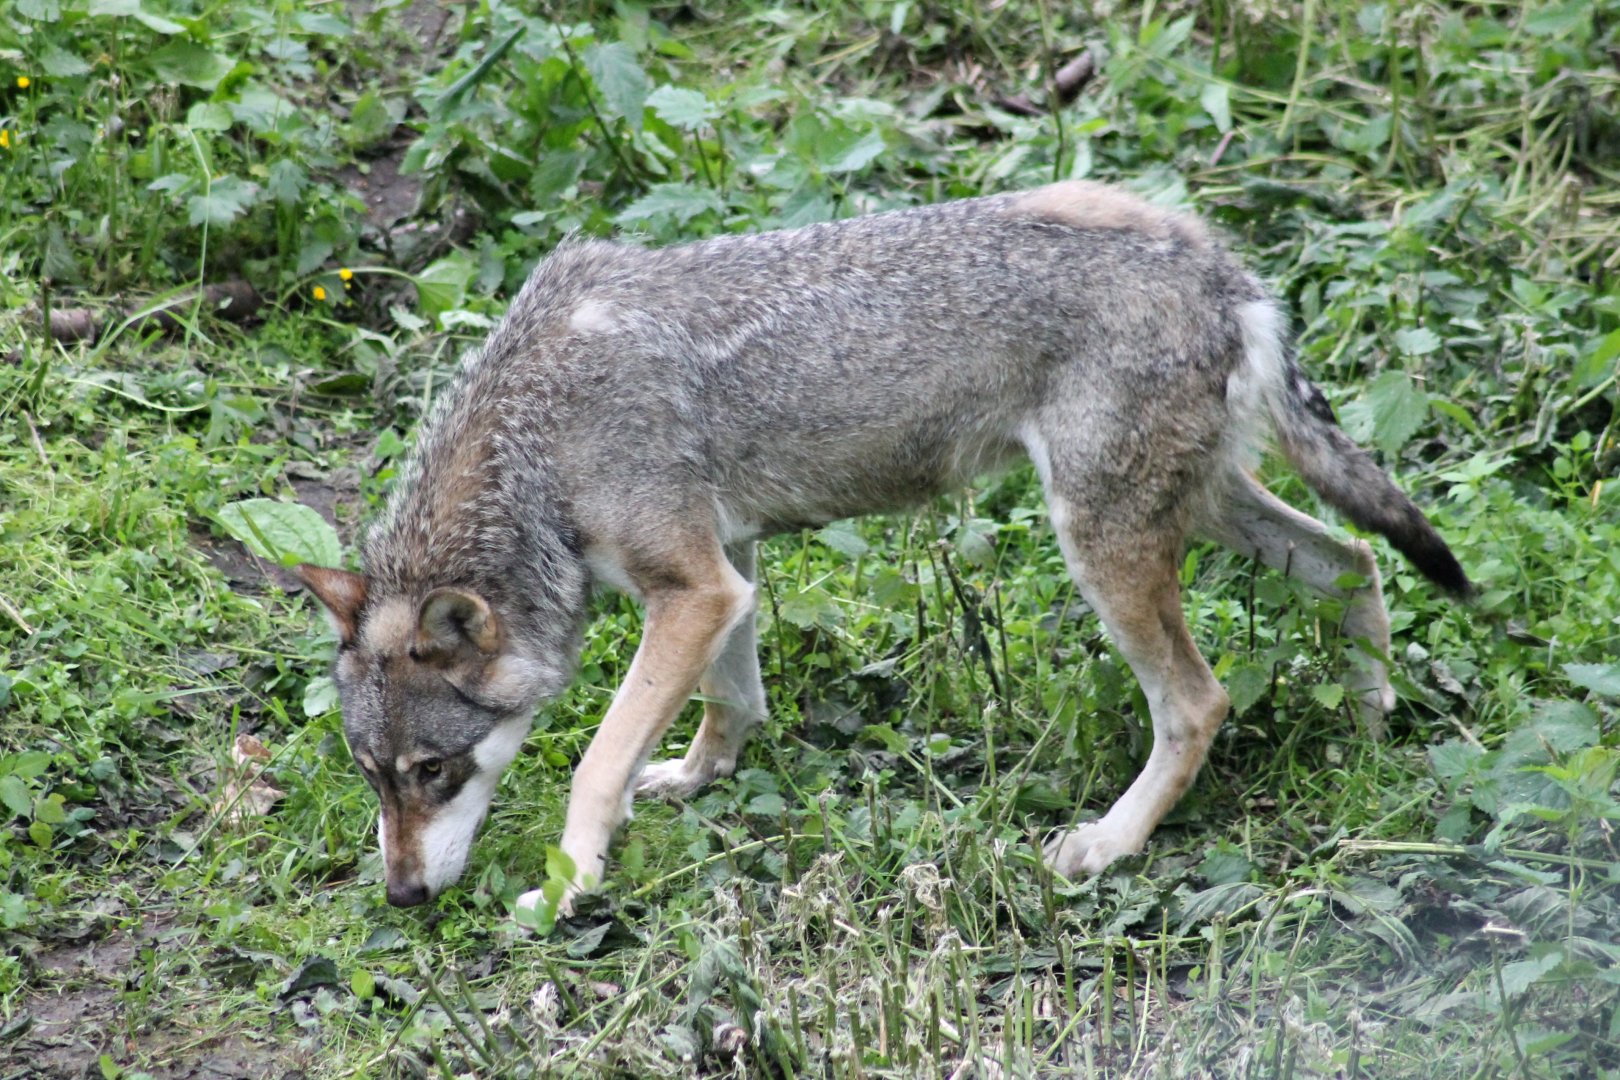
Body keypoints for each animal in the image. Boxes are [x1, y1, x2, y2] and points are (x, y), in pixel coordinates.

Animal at [297, 181, 1469, 912]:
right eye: (370, 776)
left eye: (434, 771)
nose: (402, 897)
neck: (536, 439)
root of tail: (1229, 270)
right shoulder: (726, 577)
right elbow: (732, 702)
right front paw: (693, 778)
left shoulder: (689, 588)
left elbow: (592, 763)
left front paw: (569, 884)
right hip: (1199, 512)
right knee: (1354, 560)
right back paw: (1371, 719)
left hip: (1103, 548)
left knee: (1201, 701)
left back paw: (1105, 846)